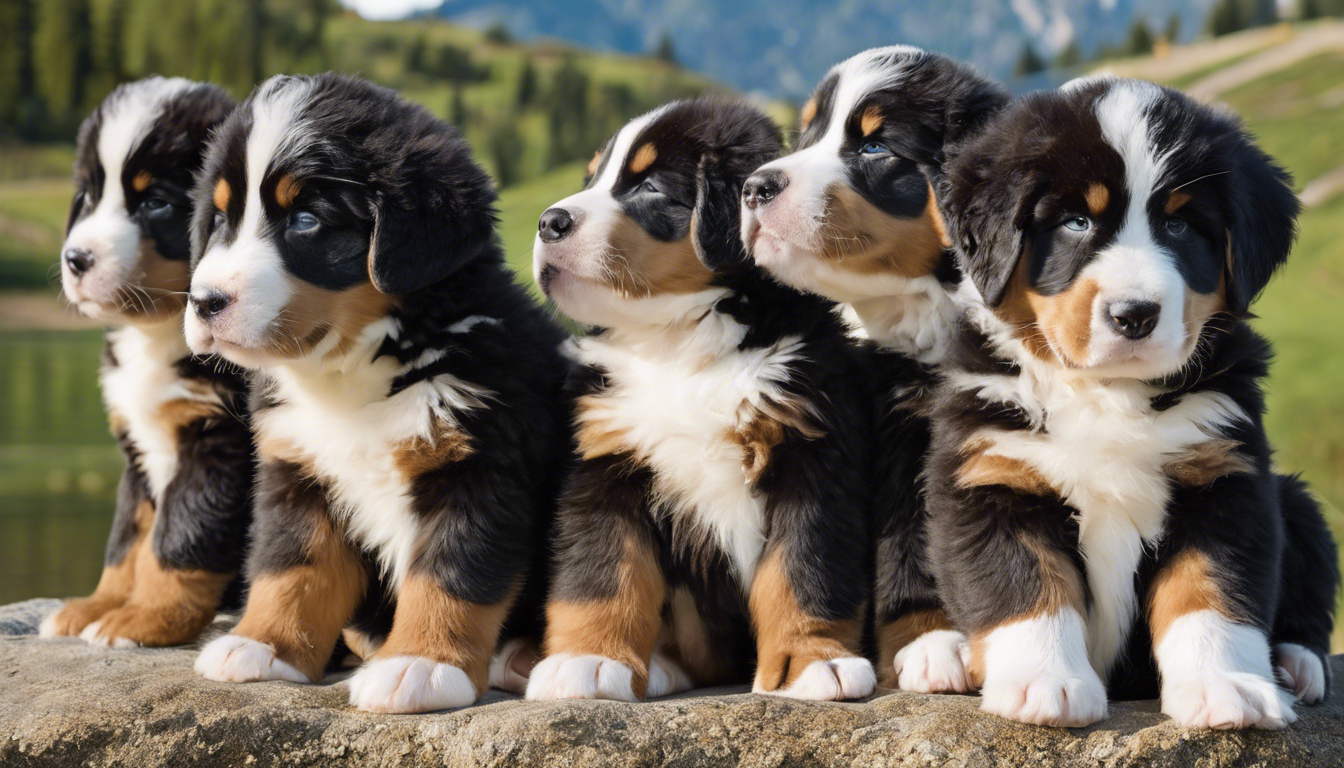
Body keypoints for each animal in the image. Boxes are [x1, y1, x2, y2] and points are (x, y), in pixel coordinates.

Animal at [39, 76, 252, 648]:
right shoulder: (135, 446)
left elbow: (179, 538)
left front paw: (147, 618)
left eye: (155, 201)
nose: (76, 259)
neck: (158, 332)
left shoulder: (217, 440)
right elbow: (126, 539)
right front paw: (97, 605)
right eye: (89, 196)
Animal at [189, 74, 567, 720]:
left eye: (306, 220)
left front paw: (420, 664)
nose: (204, 301)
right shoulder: (298, 471)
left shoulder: (480, 464)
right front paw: (261, 644)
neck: (349, 378)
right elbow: (290, 566)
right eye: (219, 219)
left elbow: (449, 574)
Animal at [524, 97, 870, 704]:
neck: (680, 343)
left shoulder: (811, 453)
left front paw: (811, 660)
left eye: (650, 187)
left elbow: (802, 569)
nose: (549, 221)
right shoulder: (607, 457)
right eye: (592, 178)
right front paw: (587, 657)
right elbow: (603, 569)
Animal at [741, 49, 1010, 699]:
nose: (755, 187)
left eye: (875, 146)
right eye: (806, 135)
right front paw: (931, 639)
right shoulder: (893, 417)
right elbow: (906, 536)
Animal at [930, 74, 1338, 731]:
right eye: (1075, 222)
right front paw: (1046, 684)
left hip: (1295, 498)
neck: (1107, 394)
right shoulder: (994, 473)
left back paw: (1297, 665)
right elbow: (1027, 587)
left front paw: (1228, 686)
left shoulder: (1223, 475)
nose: (1135, 314)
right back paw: (943, 655)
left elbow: (1211, 594)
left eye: (1179, 227)